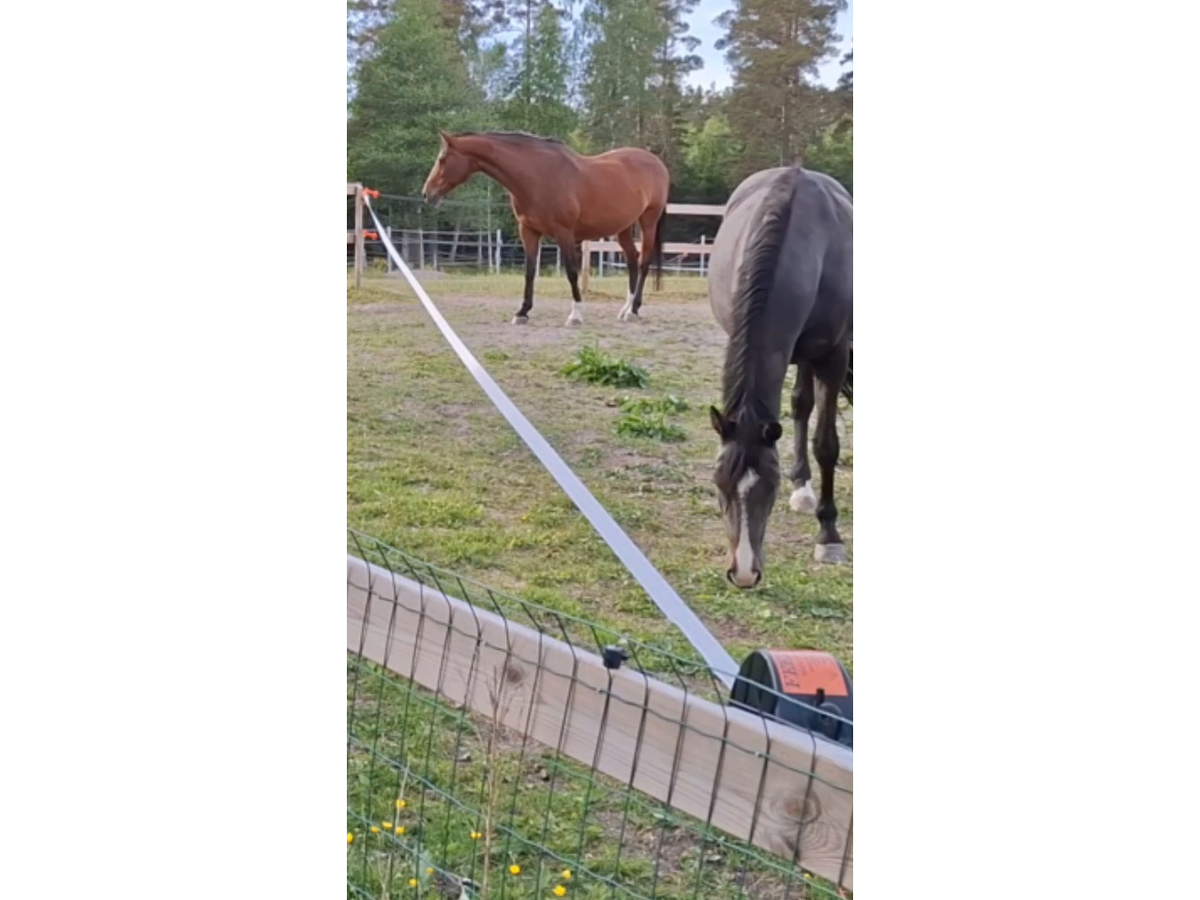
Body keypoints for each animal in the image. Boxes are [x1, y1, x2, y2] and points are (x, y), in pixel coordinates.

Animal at [421, 129, 668, 327]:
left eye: (442, 159)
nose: (427, 194)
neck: (537, 175)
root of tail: (657, 163)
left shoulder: (564, 233)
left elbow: (571, 272)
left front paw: (575, 315)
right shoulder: (528, 231)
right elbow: (529, 272)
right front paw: (522, 312)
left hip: (648, 222)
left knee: (644, 262)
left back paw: (634, 310)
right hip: (623, 227)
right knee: (632, 260)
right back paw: (625, 309)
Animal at [706, 166, 852, 587]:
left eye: (768, 488)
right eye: (719, 484)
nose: (742, 573)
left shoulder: (832, 357)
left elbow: (826, 444)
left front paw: (829, 536)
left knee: (803, 407)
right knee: (799, 405)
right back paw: (802, 486)